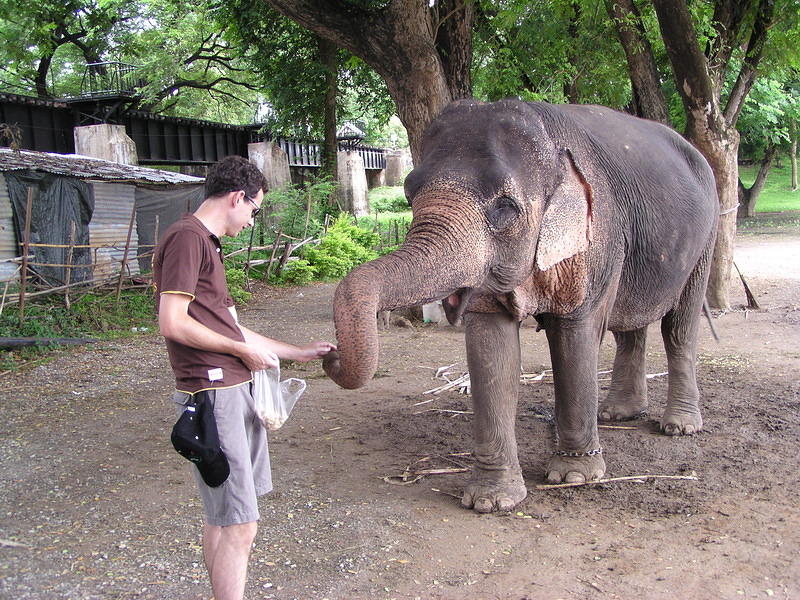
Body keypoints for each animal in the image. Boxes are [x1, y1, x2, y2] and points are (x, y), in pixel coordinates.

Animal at [324, 98, 720, 510]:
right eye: (408, 195)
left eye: (504, 208)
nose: (330, 354)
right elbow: (492, 349)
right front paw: (491, 501)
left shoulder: (598, 235)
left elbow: (576, 336)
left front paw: (574, 476)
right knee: (629, 327)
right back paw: (618, 414)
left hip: (707, 233)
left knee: (678, 326)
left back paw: (679, 426)